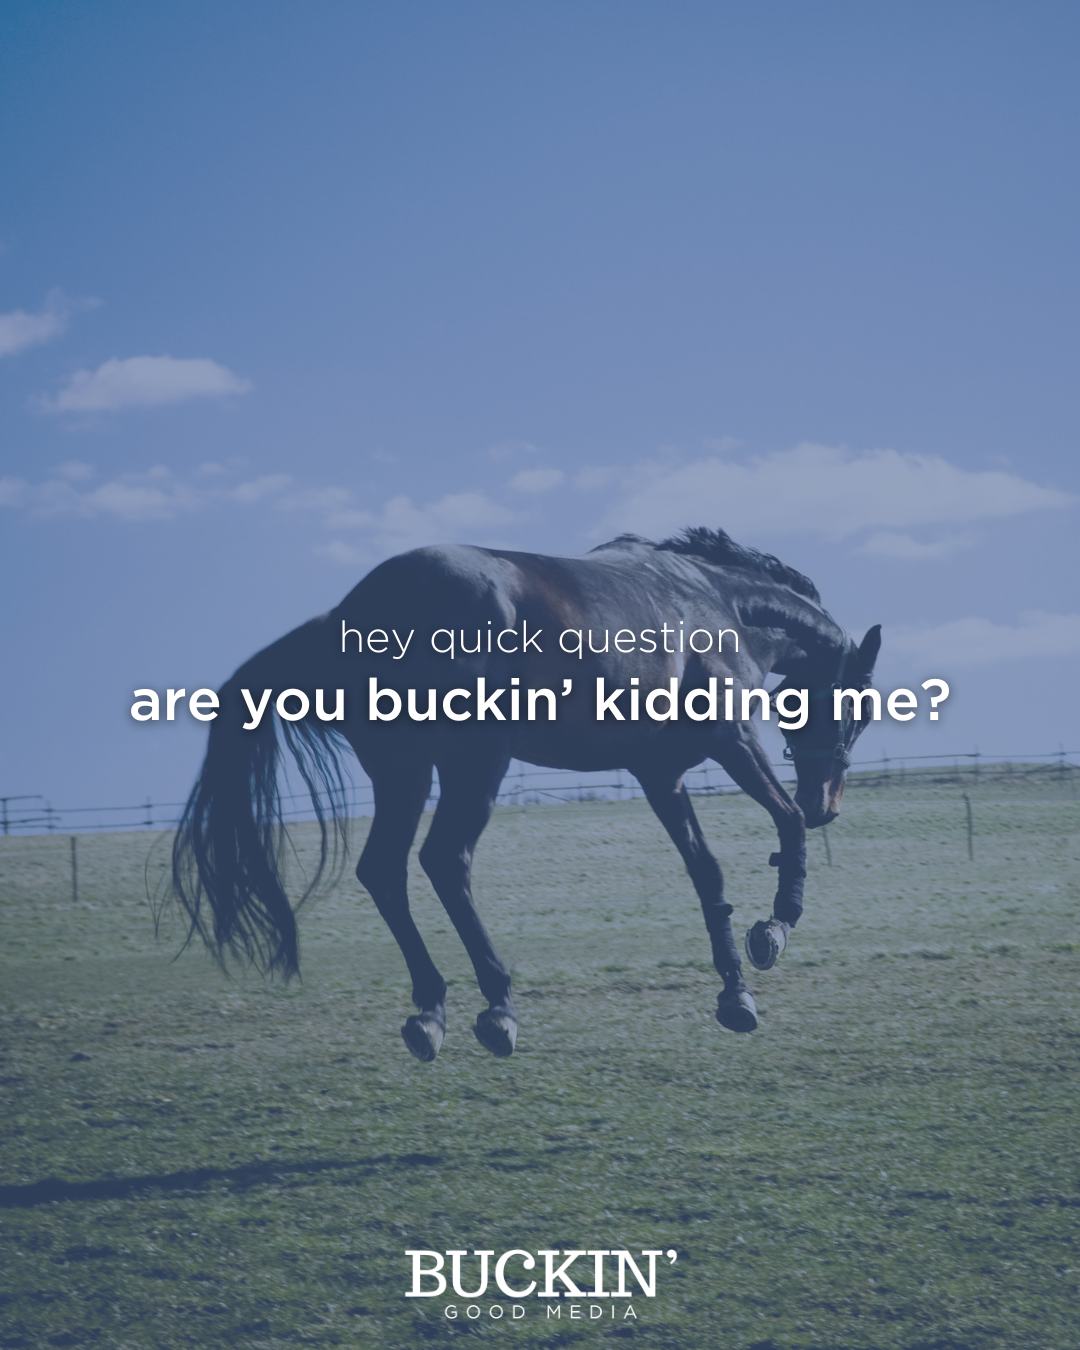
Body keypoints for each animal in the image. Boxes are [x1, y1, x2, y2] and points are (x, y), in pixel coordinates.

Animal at [171, 526, 880, 1061]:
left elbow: (707, 873)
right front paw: (774, 930)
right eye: (860, 708)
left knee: (386, 871)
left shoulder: (661, 774)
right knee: (444, 861)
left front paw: (735, 993)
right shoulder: (732, 741)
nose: (829, 805)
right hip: (474, 764)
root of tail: (351, 611)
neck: (713, 603)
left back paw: (431, 1011)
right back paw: (497, 1005)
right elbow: (783, 824)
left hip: (405, 773)